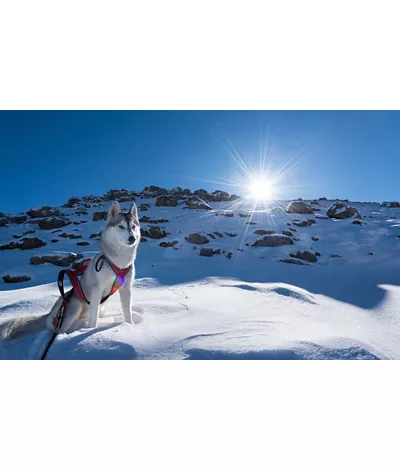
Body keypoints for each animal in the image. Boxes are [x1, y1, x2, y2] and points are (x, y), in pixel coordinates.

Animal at [0, 202, 142, 342]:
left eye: (133, 227)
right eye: (121, 227)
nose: (132, 238)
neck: (119, 263)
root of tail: (49, 314)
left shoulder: (126, 288)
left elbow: (127, 312)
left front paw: (129, 326)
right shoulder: (97, 289)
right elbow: (93, 320)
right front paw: (91, 331)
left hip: (101, 306)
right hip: (74, 306)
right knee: (59, 330)